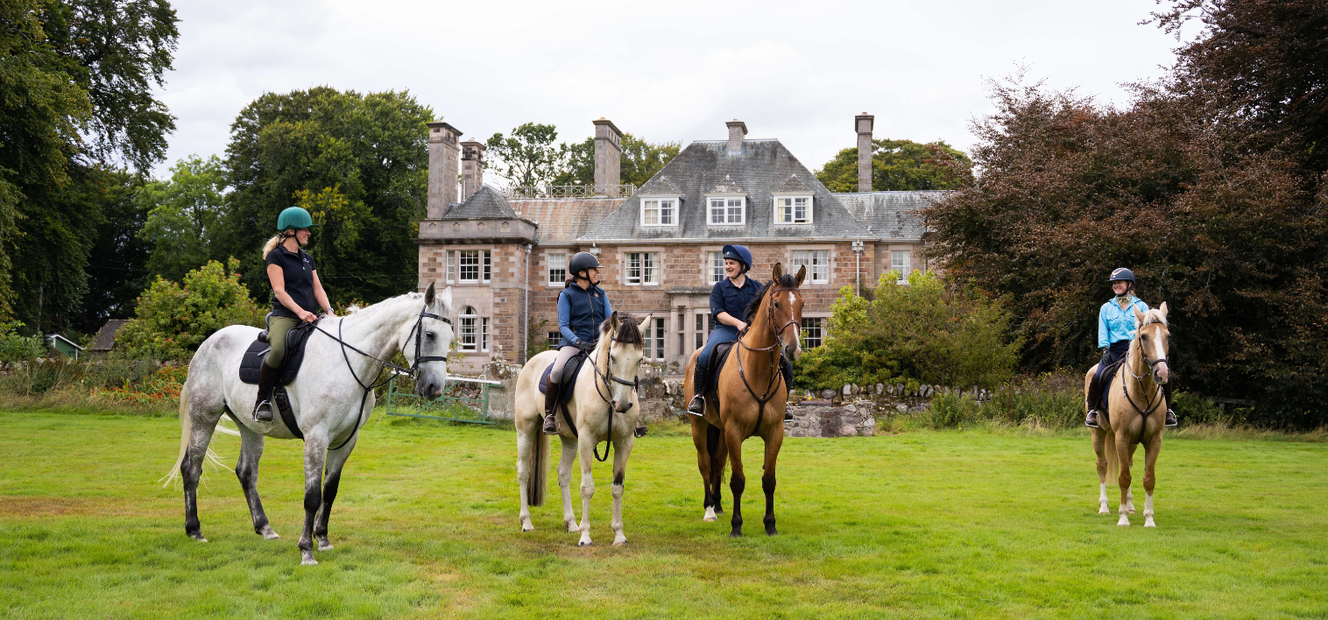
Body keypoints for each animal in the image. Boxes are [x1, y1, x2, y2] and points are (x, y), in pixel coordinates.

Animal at [163, 282, 454, 565]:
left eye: (451, 337)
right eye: (430, 335)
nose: (435, 388)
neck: (346, 362)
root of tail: (208, 343)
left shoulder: (346, 440)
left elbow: (330, 490)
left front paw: (323, 539)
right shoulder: (317, 437)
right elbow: (312, 496)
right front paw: (306, 550)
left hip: (250, 426)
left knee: (246, 472)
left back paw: (265, 528)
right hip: (204, 418)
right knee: (191, 468)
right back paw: (195, 530)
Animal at [514, 311, 651, 546]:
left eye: (640, 359)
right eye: (613, 357)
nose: (622, 404)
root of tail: (532, 361)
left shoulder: (624, 443)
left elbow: (617, 487)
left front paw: (619, 535)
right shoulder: (586, 441)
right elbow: (587, 488)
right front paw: (586, 536)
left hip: (570, 440)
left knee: (563, 475)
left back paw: (571, 524)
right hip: (525, 430)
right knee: (523, 471)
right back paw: (527, 522)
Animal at [685, 263, 805, 537]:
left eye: (802, 304)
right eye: (776, 305)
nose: (793, 349)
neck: (757, 370)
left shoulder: (774, 432)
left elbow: (769, 480)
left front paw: (770, 525)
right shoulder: (734, 431)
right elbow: (738, 480)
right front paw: (736, 526)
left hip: (719, 430)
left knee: (718, 462)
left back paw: (718, 505)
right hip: (700, 426)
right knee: (705, 464)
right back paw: (709, 510)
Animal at [1084, 302, 1171, 527]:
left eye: (1167, 336)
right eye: (1144, 336)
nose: (1162, 373)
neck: (1142, 392)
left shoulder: (1154, 439)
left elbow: (1148, 478)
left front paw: (1149, 519)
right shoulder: (1121, 437)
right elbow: (1123, 477)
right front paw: (1123, 518)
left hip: (1133, 442)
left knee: (1130, 465)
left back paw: (1131, 506)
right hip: (1098, 434)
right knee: (1103, 466)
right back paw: (1104, 506)